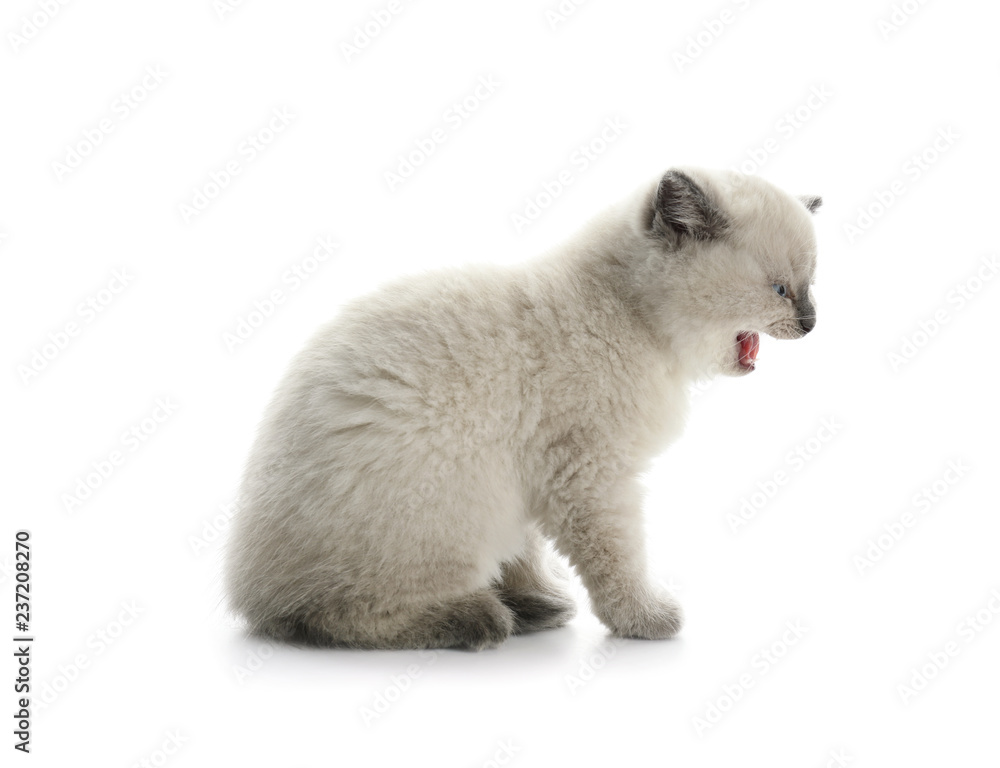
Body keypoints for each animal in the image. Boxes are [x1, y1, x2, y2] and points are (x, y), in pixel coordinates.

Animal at [224, 167, 821, 650]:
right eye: (780, 289)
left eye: (811, 285)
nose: (812, 323)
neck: (630, 316)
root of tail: (250, 591)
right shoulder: (591, 478)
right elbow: (618, 559)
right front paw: (646, 619)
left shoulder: (541, 474)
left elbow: (531, 551)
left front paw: (541, 595)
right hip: (454, 505)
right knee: (333, 615)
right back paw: (477, 617)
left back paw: (523, 608)